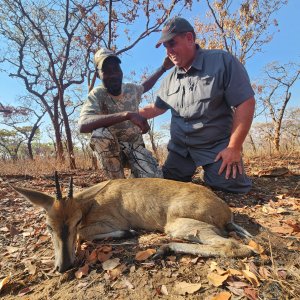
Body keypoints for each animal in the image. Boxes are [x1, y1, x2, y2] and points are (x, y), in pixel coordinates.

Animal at [12, 175, 254, 274]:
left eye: (76, 220)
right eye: (48, 226)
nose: (63, 266)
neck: (91, 202)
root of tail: (227, 212)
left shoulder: (107, 222)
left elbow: (84, 234)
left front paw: (127, 232)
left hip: (178, 225)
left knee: (234, 246)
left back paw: (164, 248)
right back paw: (163, 249)